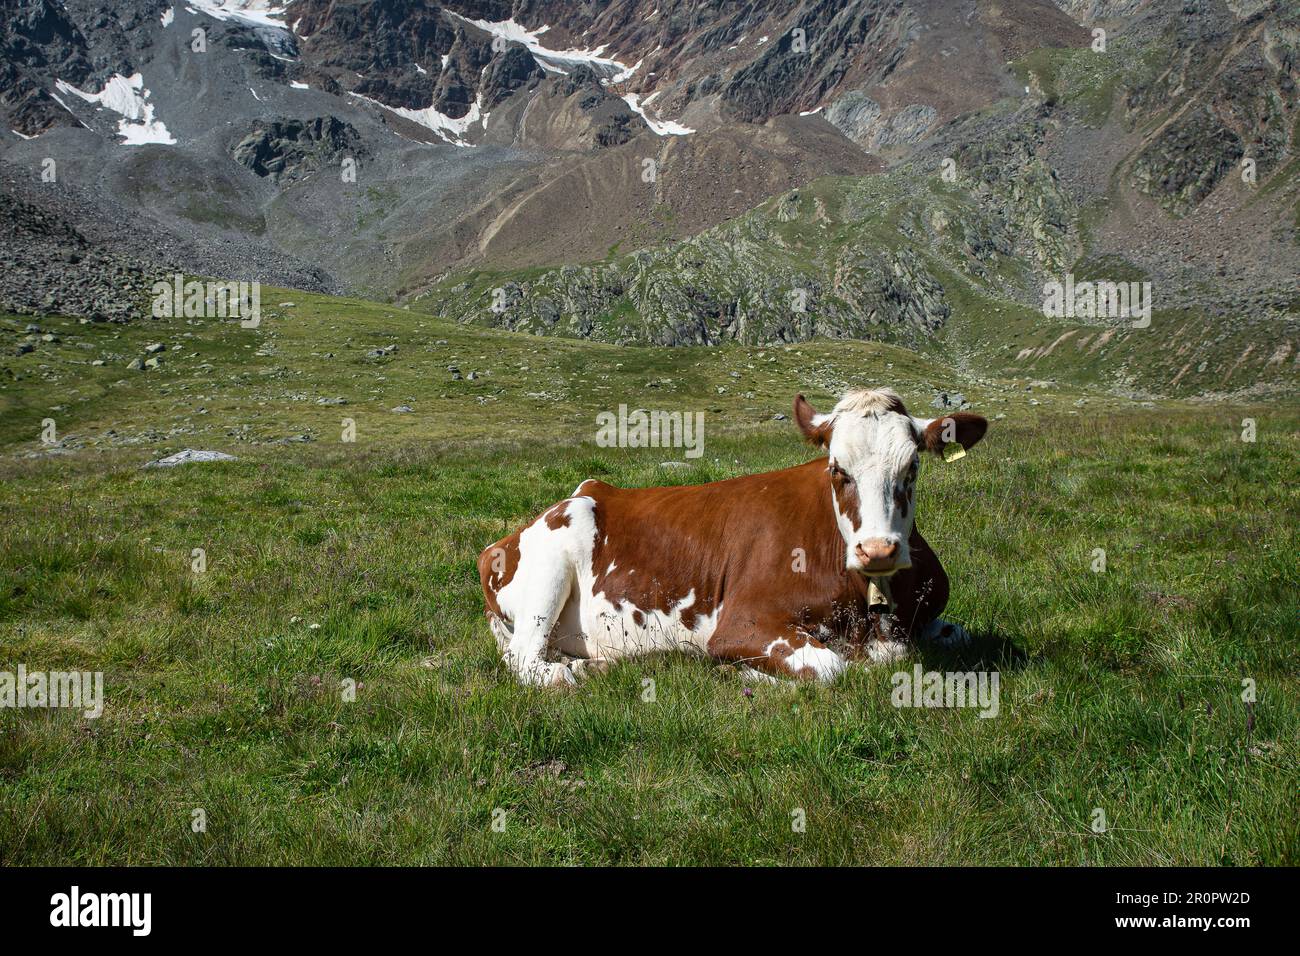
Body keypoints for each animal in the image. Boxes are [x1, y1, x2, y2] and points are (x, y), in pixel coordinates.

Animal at [478, 390, 982, 686]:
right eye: (838, 470)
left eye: (912, 468)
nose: (878, 550)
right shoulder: (740, 623)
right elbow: (830, 667)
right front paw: (753, 677)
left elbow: (956, 634)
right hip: (554, 558)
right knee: (525, 660)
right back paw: (568, 676)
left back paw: (595, 664)